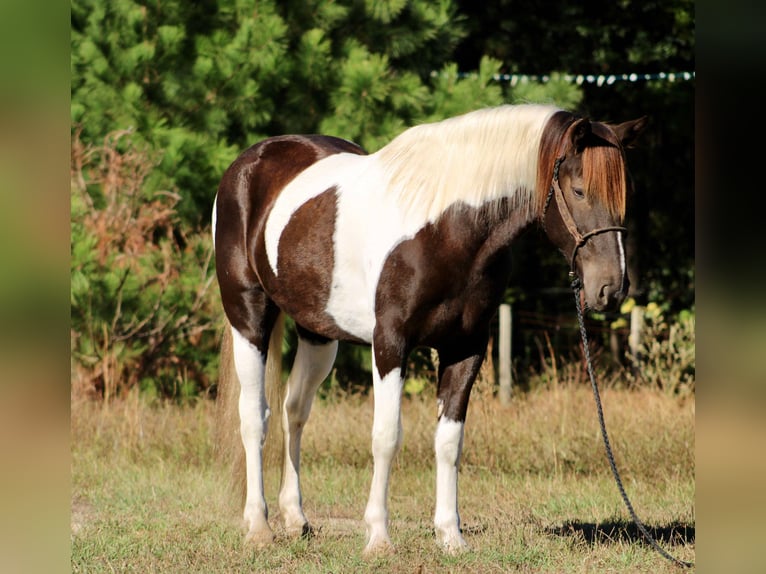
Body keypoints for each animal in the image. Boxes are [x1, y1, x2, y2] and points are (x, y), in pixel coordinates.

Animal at [212, 103, 646, 555]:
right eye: (578, 190)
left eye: (626, 193)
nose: (611, 288)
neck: (447, 230)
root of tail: (250, 162)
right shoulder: (390, 344)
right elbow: (386, 437)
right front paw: (378, 537)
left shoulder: (465, 348)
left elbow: (449, 442)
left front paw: (451, 536)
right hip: (248, 318)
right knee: (254, 416)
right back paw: (258, 526)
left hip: (318, 333)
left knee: (294, 411)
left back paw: (296, 518)